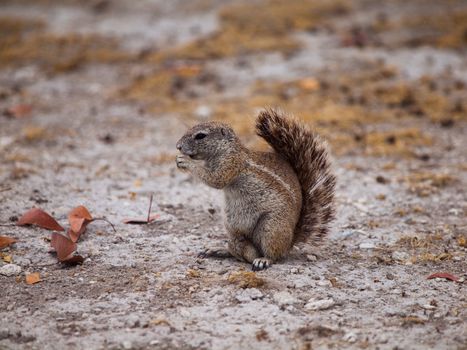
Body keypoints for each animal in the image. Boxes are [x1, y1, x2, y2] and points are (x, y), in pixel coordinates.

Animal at [176, 109, 336, 270]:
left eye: (200, 136)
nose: (178, 146)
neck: (227, 150)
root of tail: (290, 241)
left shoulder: (231, 164)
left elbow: (215, 179)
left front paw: (186, 161)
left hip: (271, 228)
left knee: (274, 255)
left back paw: (263, 260)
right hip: (232, 228)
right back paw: (220, 250)